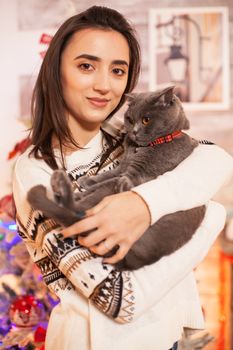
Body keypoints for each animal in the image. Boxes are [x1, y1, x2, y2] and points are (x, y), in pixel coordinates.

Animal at [27, 86, 206, 272]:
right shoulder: (123, 167)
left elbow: (108, 181)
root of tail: (134, 260)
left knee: (77, 208)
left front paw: (84, 186)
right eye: (129, 119)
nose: (134, 131)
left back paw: (65, 188)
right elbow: (107, 175)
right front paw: (87, 181)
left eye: (146, 120)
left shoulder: (136, 175)